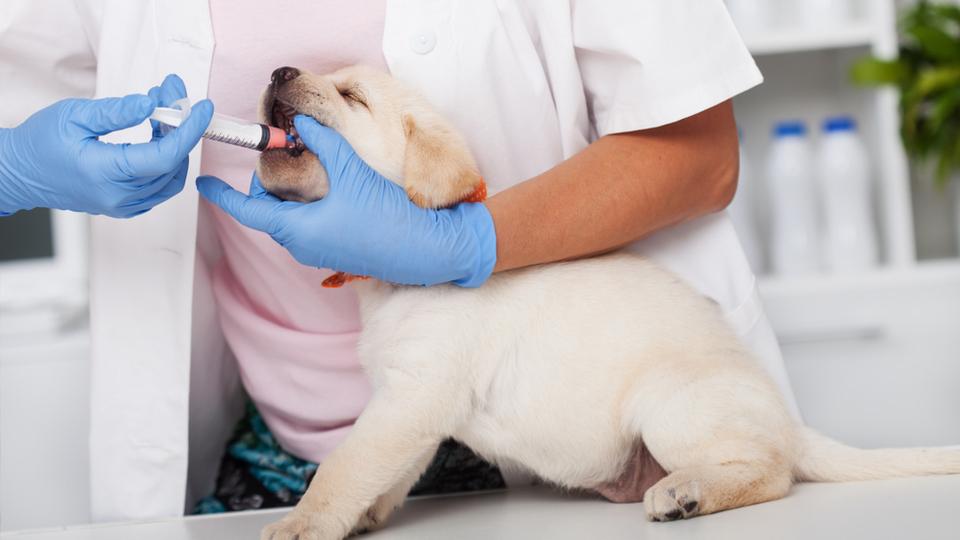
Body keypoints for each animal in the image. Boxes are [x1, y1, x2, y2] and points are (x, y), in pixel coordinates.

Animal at [253, 65, 960, 536]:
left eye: (351, 96)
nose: (280, 70)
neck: (388, 281)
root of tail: (791, 424)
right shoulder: (408, 409)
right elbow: (384, 474)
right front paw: (365, 514)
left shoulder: (413, 397)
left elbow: (345, 465)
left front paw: (302, 523)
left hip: (671, 406)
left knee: (770, 472)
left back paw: (688, 493)